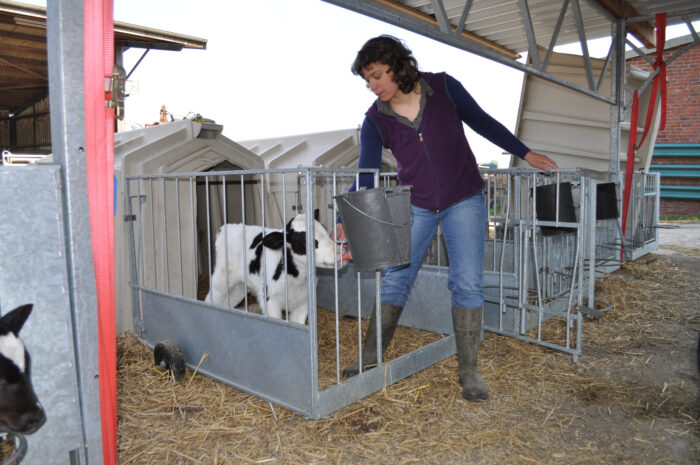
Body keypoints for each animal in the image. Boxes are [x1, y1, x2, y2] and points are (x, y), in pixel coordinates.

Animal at [205, 213, 340, 322]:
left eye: (326, 231)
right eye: (304, 241)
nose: (337, 252)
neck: (294, 279)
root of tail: (226, 227)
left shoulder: (303, 303)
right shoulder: (270, 301)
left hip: (239, 286)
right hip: (222, 278)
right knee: (210, 299)